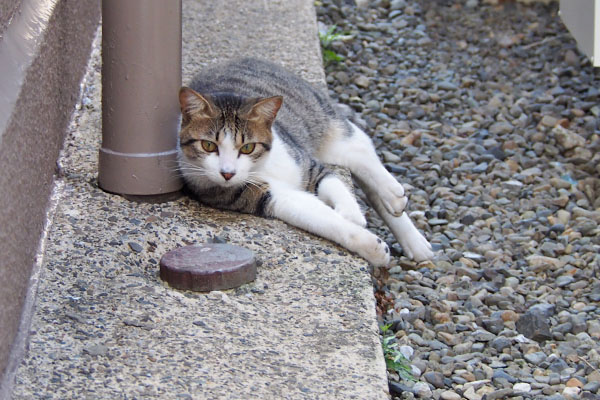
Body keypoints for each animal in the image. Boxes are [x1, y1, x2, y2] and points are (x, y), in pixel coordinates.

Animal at [176, 57, 434, 266]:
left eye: (247, 147)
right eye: (209, 146)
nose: (227, 173)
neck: (263, 166)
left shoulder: (308, 165)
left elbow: (333, 183)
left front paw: (352, 213)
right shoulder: (267, 196)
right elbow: (322, 219)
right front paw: (371, 246)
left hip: (326, 124)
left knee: (361, 148)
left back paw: (395, 198)